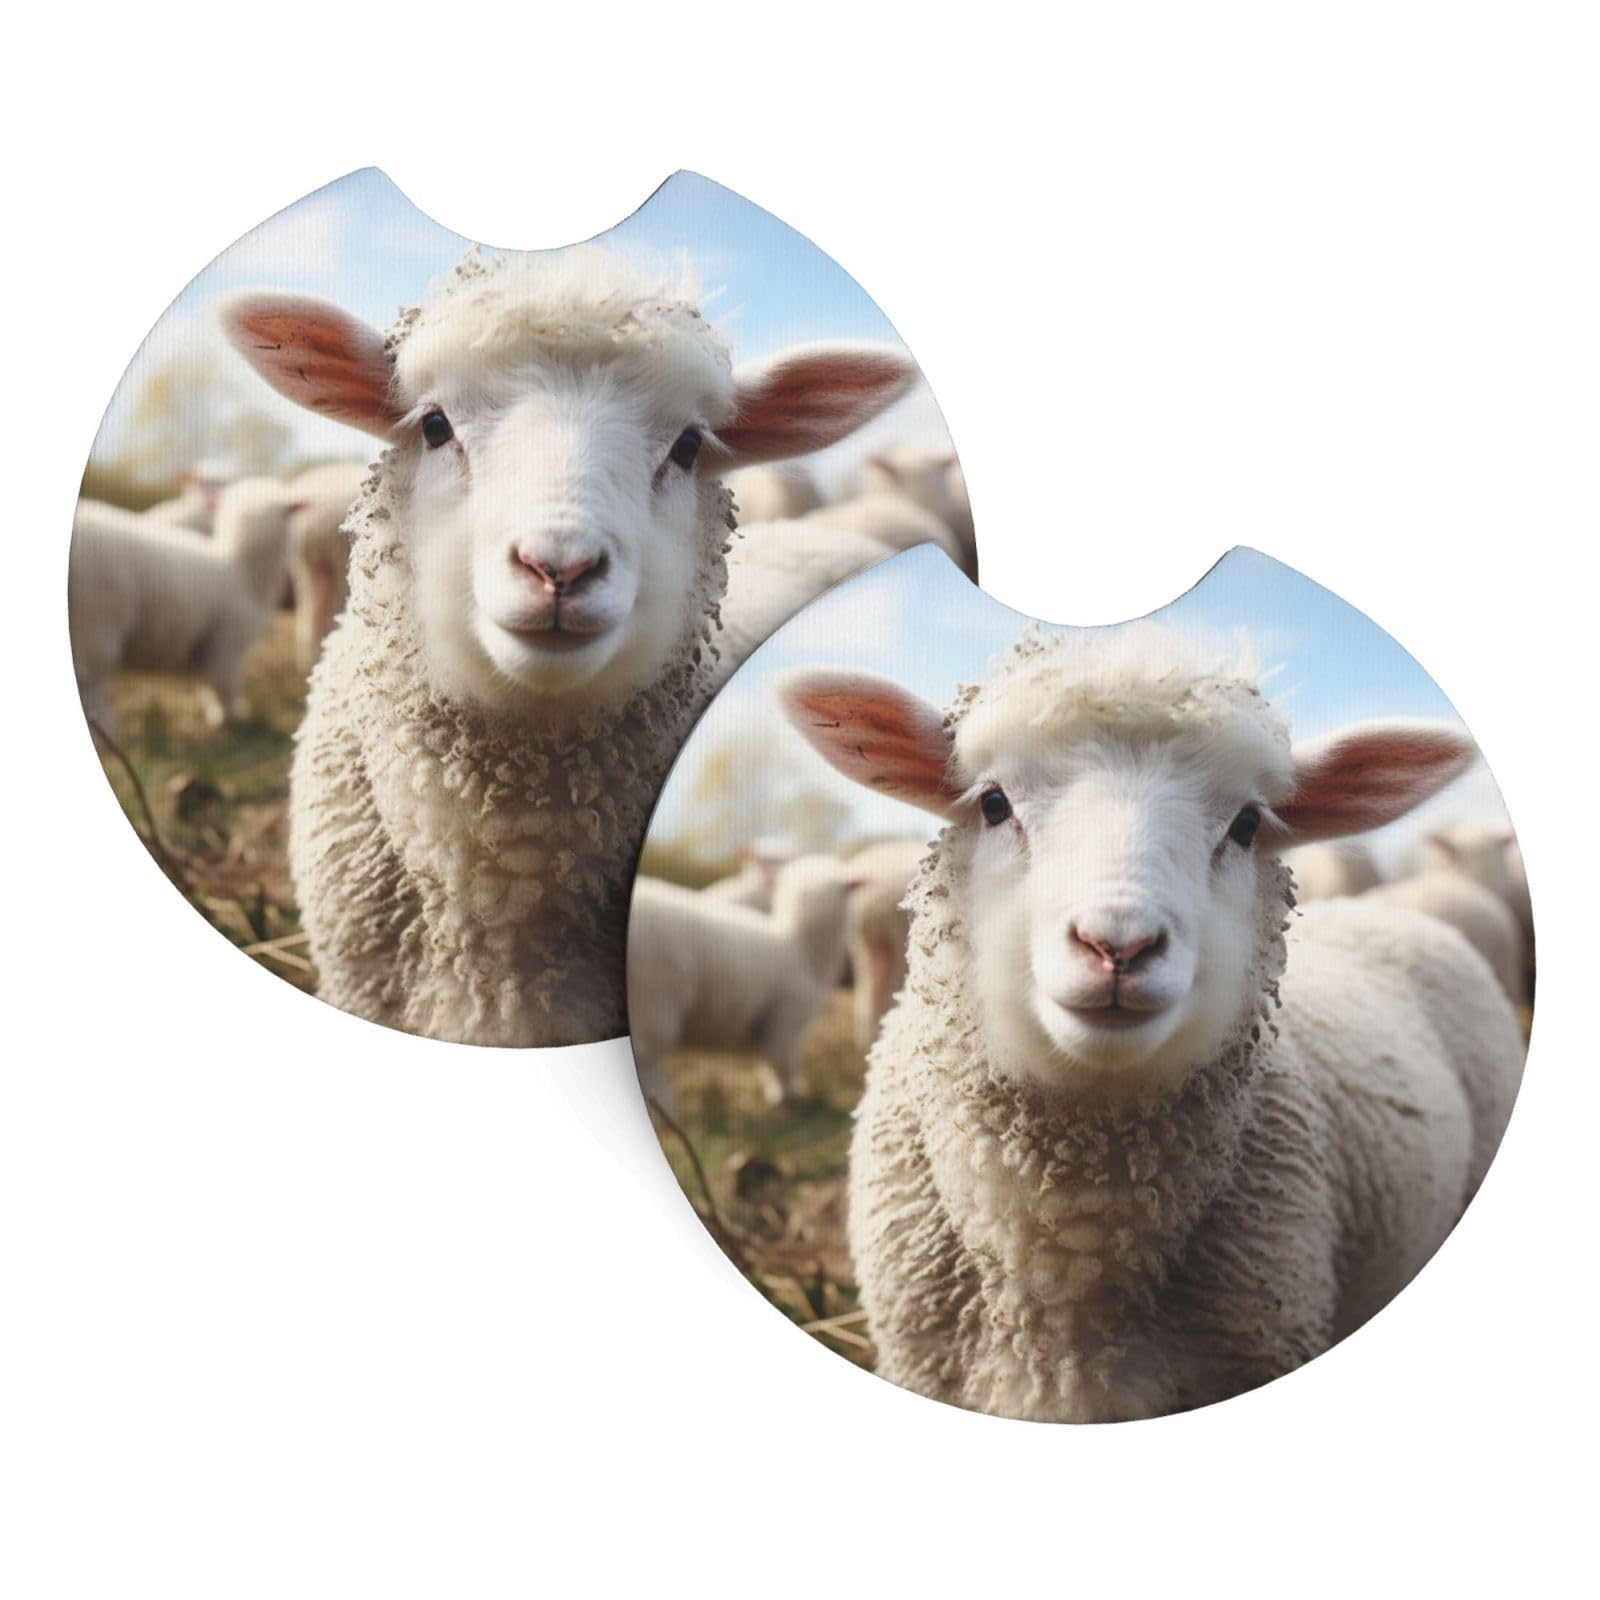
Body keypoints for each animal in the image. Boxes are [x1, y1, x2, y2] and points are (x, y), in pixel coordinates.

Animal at [69, 477, 304, 735]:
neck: (241, 569)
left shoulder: (207, 648)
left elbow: (207, 683)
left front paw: (218, 717)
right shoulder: (228, 643)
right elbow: (223, 685)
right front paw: (231, 718)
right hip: (95, 625)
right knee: (88, 682)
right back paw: (108, 730)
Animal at [628, 855, 862, 1108]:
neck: (799, 947)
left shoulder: (768, 1027)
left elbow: (767, 1061)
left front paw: (777, 1093)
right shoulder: (786, 1021)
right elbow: (782, 1063)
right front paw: (788, 1096)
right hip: (652, 1005)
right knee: (646, 1063)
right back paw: (666, 1108)